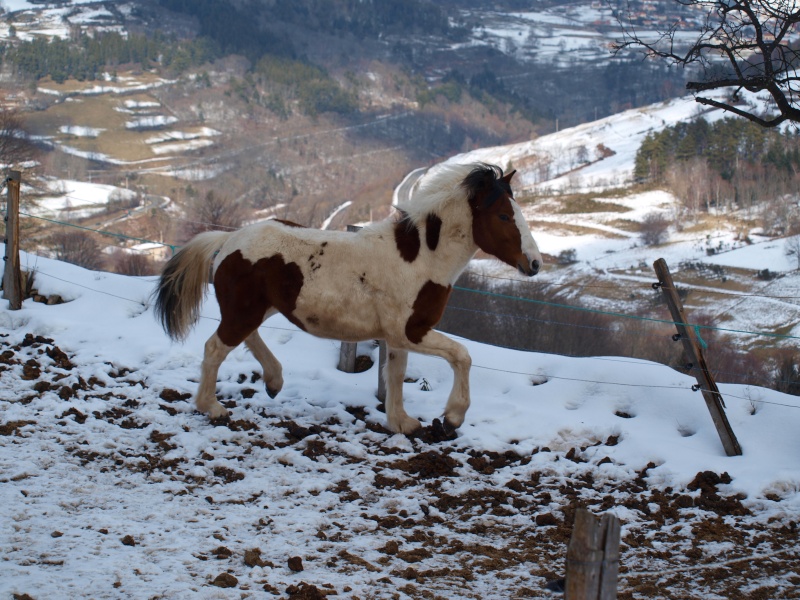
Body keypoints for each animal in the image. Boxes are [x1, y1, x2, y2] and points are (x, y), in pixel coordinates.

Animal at [155, 162, 544, 434]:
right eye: (504, 215)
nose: (535, 263)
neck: (420, 260)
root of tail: (228, 241)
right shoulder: (411, 331)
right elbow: (462, 356)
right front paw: (452, 417)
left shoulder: (396, 337)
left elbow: (395, 375)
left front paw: (401, 423)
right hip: (244, 311)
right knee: (215, 348)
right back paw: (212, 407)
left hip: (258, 309)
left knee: (245, 339)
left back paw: (274, 382)